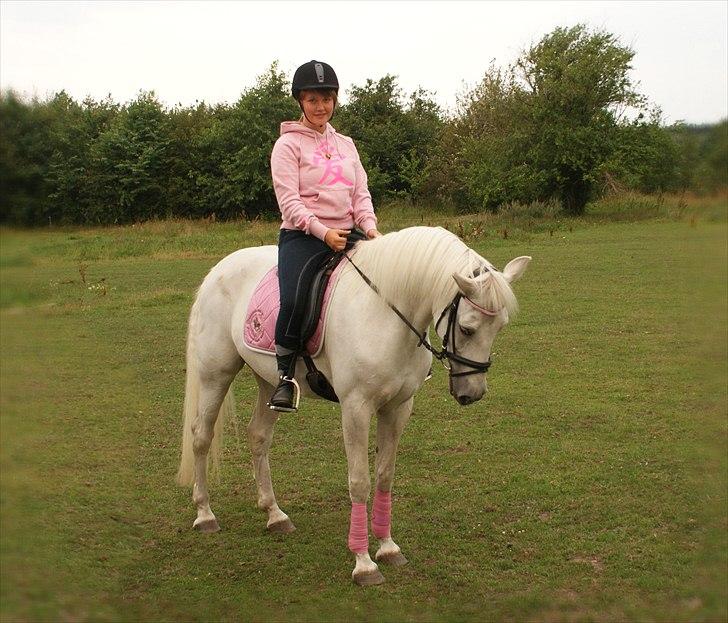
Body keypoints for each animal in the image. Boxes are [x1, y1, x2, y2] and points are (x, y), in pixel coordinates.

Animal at [176, 225, 530, 586]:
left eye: (500, 327)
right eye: (467, 328)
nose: (473, 392)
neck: (384, 313)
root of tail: (218, 269)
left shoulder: (398, 408)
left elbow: (385, 475)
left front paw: (387, 547)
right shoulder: (355, 408)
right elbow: (359, 481)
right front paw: (364, 563)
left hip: (268, 380)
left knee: (258, 436)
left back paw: (274, 515)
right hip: (215, 374)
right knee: (201, 436)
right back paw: (205, 514)